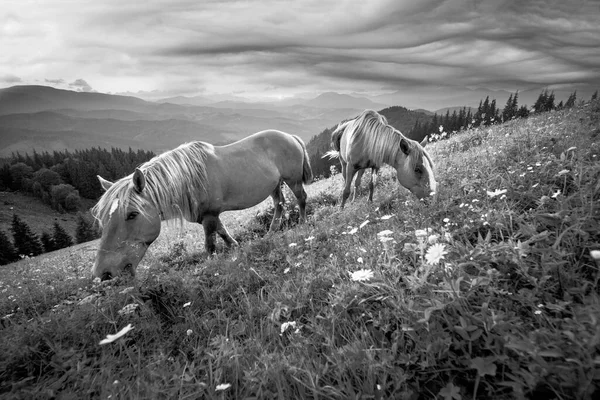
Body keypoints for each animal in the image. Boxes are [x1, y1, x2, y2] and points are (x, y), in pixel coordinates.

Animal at [91, 130, 314, 280]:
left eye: (132, 214)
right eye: (102, 220)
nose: (103, 273)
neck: (188, 179)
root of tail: (290, 136)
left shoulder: (209, 216)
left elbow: (210, 244)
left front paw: (212, 268)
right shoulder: (209, 216)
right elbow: (223, 232)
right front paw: (236, 248)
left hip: (293, 180)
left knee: (301, 199)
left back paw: (302, 223)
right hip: (275, 185)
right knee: (280, 204)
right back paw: (271, 232)